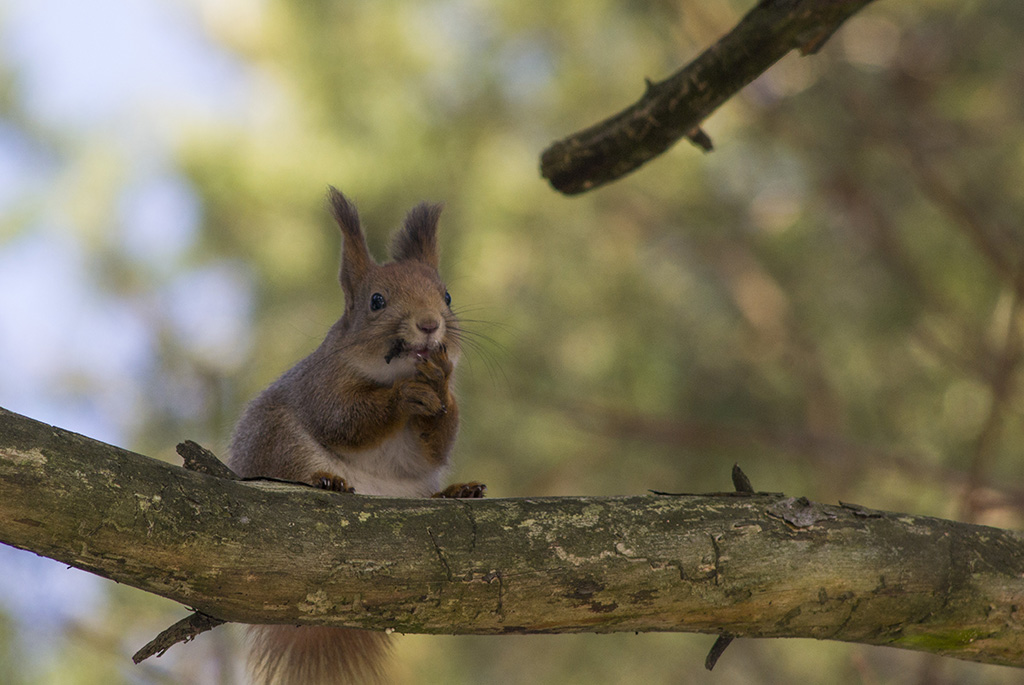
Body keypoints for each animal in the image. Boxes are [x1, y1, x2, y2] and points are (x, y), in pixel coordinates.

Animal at [228, 187, 485, 684]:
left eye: (447, 295)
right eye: (377, 301)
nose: (430, 324)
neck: (390, 372)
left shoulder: (423, 445)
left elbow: (432, 447)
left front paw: (440, 382)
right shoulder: (321, 387)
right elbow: (345, 421)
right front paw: (403, 396)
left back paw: (454, 494)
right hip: (279, 442)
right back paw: (326, 481)